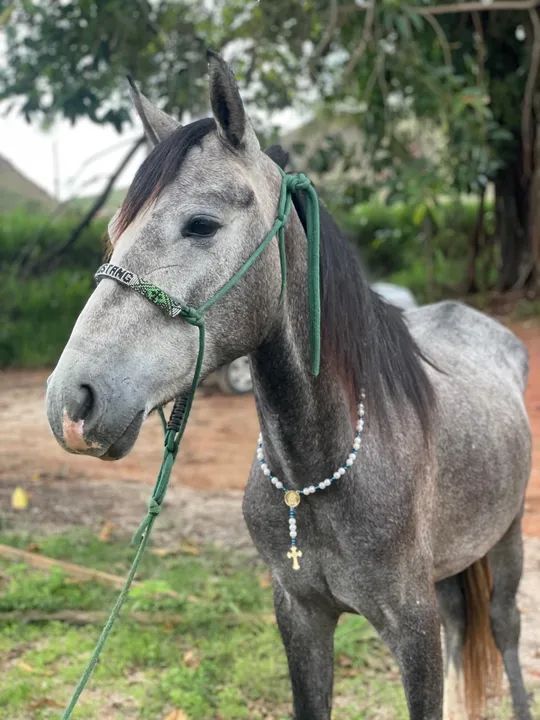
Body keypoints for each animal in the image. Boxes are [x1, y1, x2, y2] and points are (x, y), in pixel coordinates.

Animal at [46, 51, 532, 720]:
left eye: (201, 225)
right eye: (114, 234)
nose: (71, 401)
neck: (320, 469)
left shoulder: (413, 628)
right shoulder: (299, 615)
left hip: (505, 540)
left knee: (504, 632)